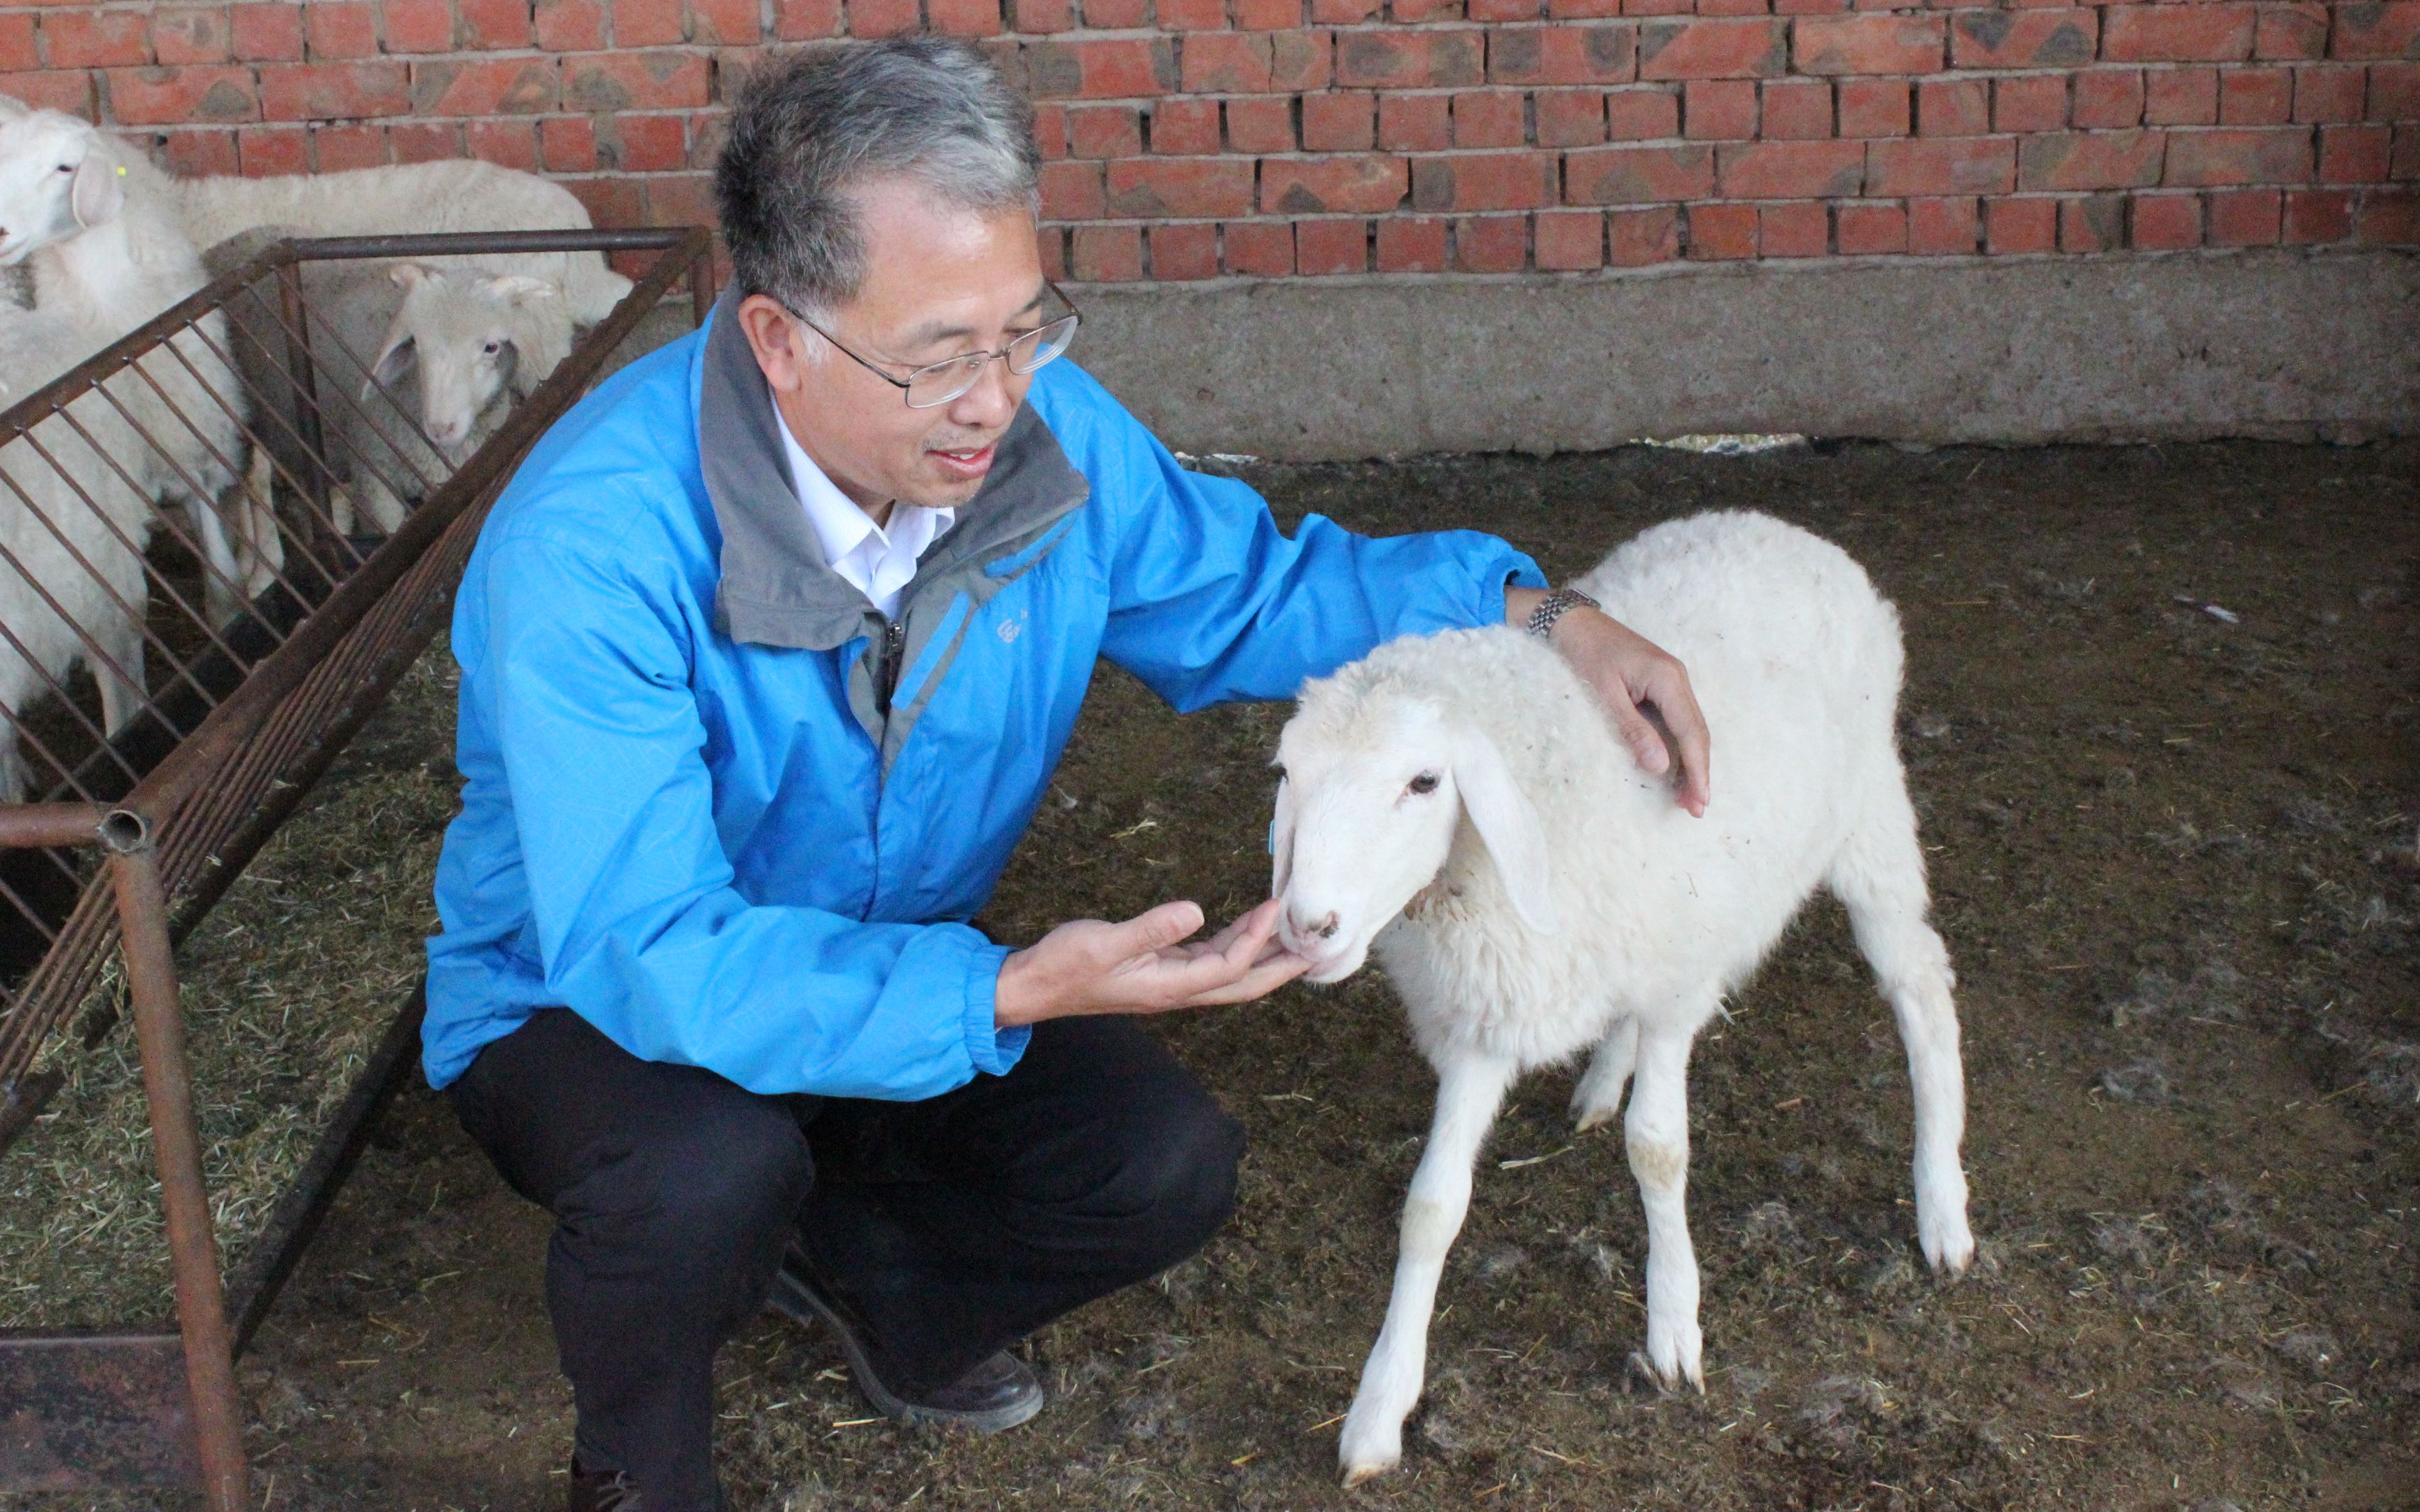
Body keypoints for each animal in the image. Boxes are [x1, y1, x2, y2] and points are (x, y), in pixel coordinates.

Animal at [1258, 512, 1975, 1480]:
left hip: (1869, 820)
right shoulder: (1488, 1012)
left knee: (1922, 985)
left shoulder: (1673, 983)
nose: (1309, 926)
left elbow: (1659, 1150)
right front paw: (1379, 1408)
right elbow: (1431, 1208)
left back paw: (1942, 1204)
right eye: (1288, 776)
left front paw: (1673, 1322)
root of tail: (1780, 527)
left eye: (1424, 782)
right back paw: (1603, 1079)